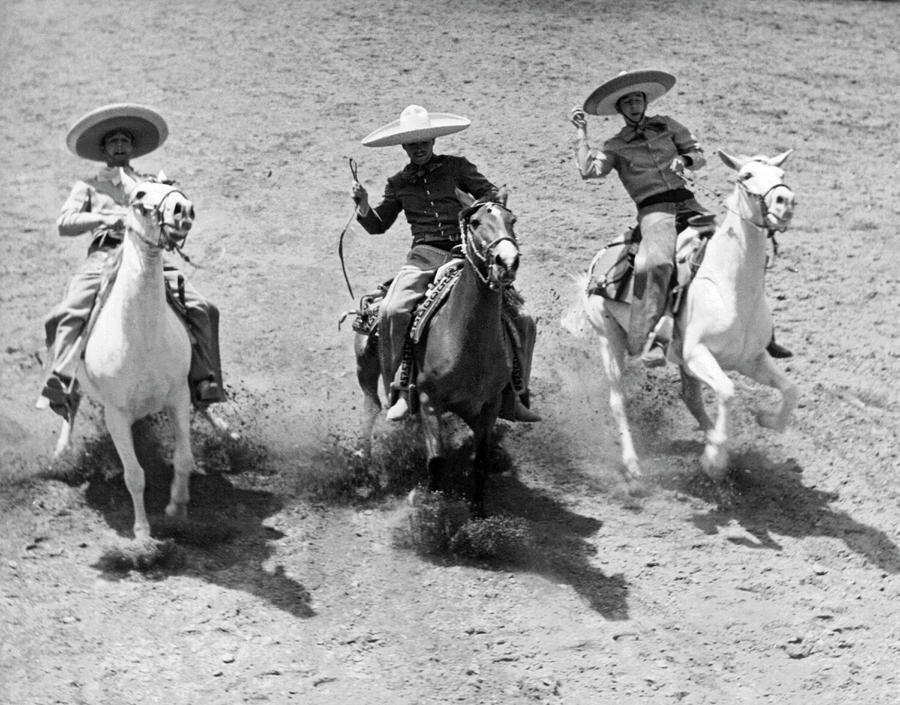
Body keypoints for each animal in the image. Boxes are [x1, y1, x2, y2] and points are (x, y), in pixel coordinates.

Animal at [54, 175, 211, 540]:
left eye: (173, 187)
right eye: (139, 194)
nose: (183, 210)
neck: (143, 338)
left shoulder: (178, 396)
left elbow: (184, 459)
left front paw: (177, 508)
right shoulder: (116, 414)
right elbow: (134, 475)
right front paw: (142, 532)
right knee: (70, 401)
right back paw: (62, 452)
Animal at [354, 186, 520, 512]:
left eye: (512, 221)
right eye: (476, 223)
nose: (507, 262)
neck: (469, 344)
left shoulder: (489, 406)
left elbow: (479, 461)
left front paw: (478, 511)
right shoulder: (430, 399)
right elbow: (436, 462)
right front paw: (432, 509)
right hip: (365, 367)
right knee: (371, 407)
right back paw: (364, 466)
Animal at [568, 148, 800, 478]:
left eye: (782, 175)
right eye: (747, 175)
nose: (785, 202)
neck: (731, 288)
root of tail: (599, 260)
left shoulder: (750, 359)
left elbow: (791, 390)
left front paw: (763, 420)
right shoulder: (696, 354)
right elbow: (728, 392)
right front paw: (713, 458)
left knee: (691, 398)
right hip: (609, 337)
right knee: (617, 401)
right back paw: (633, 466)